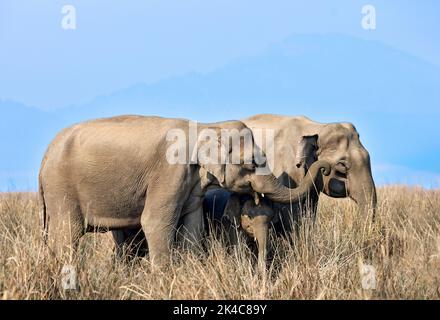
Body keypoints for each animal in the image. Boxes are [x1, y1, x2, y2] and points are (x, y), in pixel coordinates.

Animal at [39, 114, 332, 264]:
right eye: (251, 163)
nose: (325, 165)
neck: (206, 127)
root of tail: (45, 155)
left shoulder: (191, 183)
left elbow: (193, 224)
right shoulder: (169, 172)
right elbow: (155, 222)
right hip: (61, 188)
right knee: (68, 234)